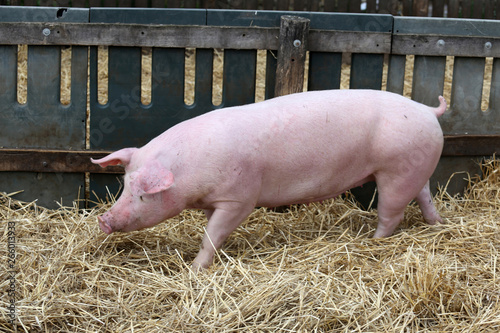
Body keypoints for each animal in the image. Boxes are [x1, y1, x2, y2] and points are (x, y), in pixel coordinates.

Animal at [92, 89, 448, 268]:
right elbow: (211, 230)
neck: (189, 171)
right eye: (125, 185)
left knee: (392, 214)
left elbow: (212, 236)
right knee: (425, 196)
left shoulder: (239, 197)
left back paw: (372, 241)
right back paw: (437, 224)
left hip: (396, 170)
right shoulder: (214, 201)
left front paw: (195, 269)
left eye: (143, 194)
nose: (104, 220)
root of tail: (428, 111)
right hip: (417, 167)